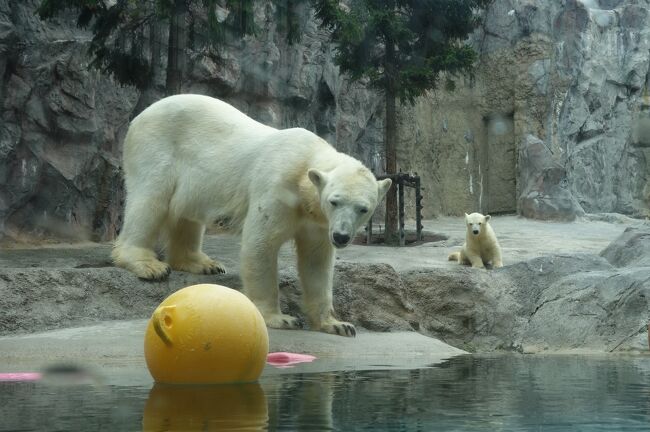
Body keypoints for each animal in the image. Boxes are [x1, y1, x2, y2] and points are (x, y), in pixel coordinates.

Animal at [111, 94, 390, 338]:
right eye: (334, 201)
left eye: (363, 208)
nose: (341, 236)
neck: (304, 164)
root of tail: (140, 116)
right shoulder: (276, 188)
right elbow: (261, 243)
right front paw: (281, 318)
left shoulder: (318, 223)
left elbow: (316, 262)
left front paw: (337, 324)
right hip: (157, 147)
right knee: (150, 199)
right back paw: (149, 265)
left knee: (186, 215)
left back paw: (202, 263)